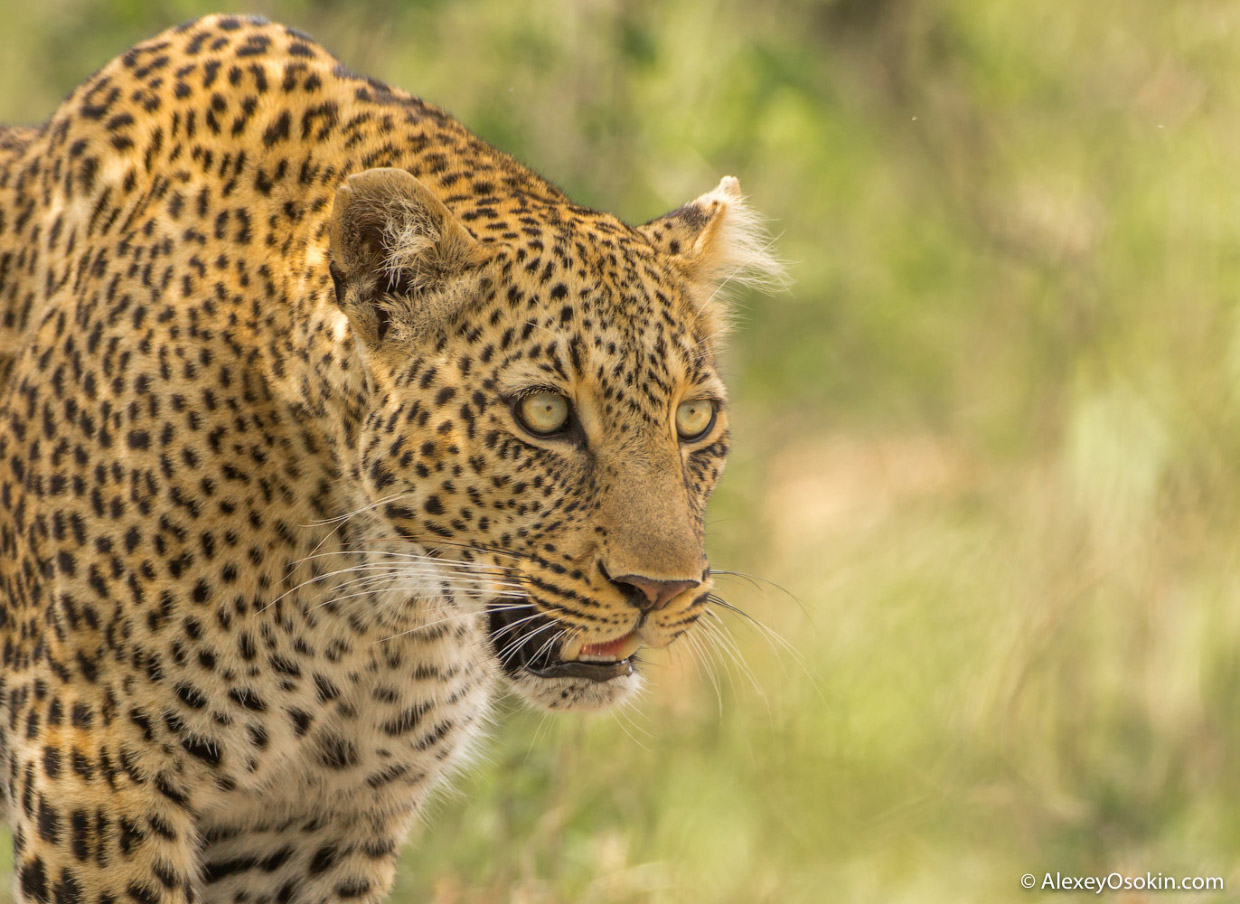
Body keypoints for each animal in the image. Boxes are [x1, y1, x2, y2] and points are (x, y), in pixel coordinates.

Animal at [0, 12, 778, 902]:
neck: (375, 605)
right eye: (545, 414)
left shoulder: (318, 825)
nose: (662, 590)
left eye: (694, 418)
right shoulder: (91, 768)